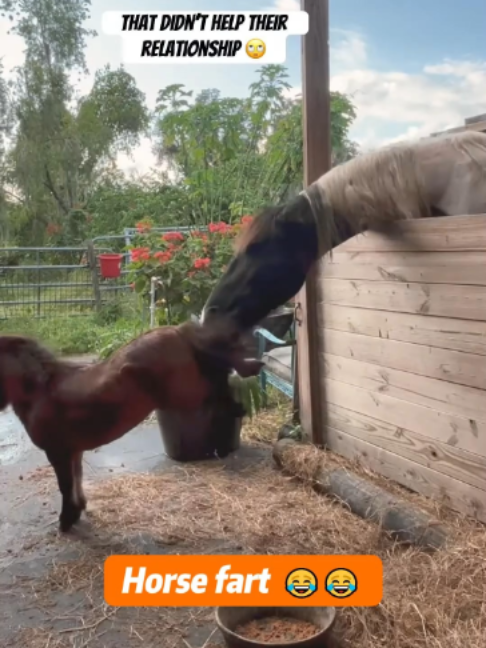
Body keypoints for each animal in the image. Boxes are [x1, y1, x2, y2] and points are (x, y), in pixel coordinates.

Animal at [0, 320, 263, 532]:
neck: (41, 390)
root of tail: (177, 332)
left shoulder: (58, 453)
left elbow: (65, 486)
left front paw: (66, 521)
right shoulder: (74, 451)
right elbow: (77, 479)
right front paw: (77, 511)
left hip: (187, 392)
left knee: (217, 381)